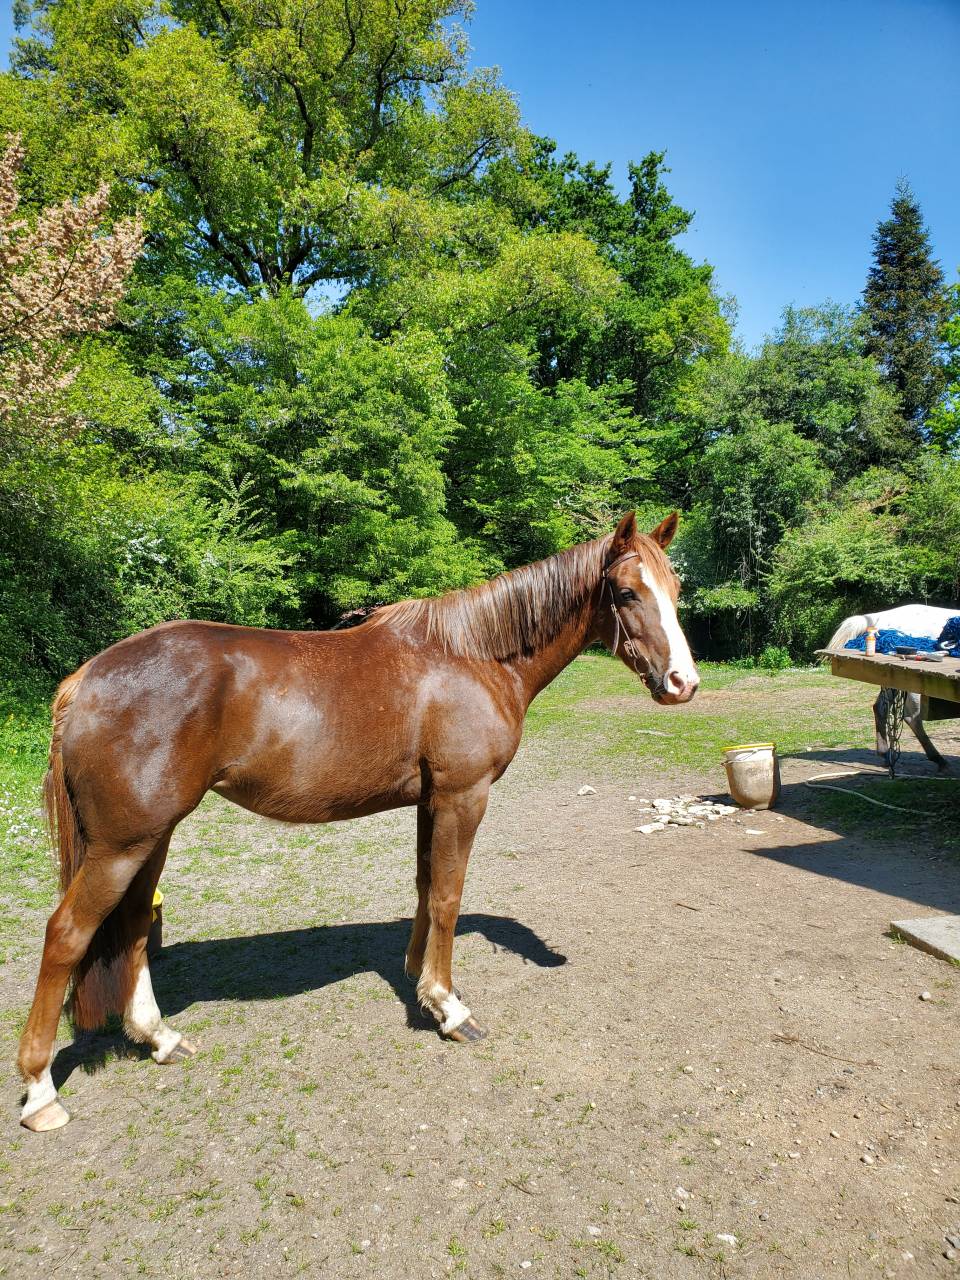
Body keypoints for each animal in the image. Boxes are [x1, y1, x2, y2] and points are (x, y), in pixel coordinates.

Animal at [18, 510, 699, 1132]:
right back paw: (41, 1093)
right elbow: (449, 895)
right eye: (626, 592)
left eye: (674, 587)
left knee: (132, 926)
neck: (472, 656)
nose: (683, 683)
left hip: (150, 837)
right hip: (121, 846)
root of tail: (85, 681)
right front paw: (450, 1009)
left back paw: (158, 1037)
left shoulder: (431, 800)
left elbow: (426, 886)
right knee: (67, 936)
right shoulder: (463, 796)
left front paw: (419, 981)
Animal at [826, 604, 957, 770]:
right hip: (913, 685)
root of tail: (877, 617)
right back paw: (938, 759)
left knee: (880, 708)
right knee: (912, 717)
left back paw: (885, 754)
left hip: (892, 682)